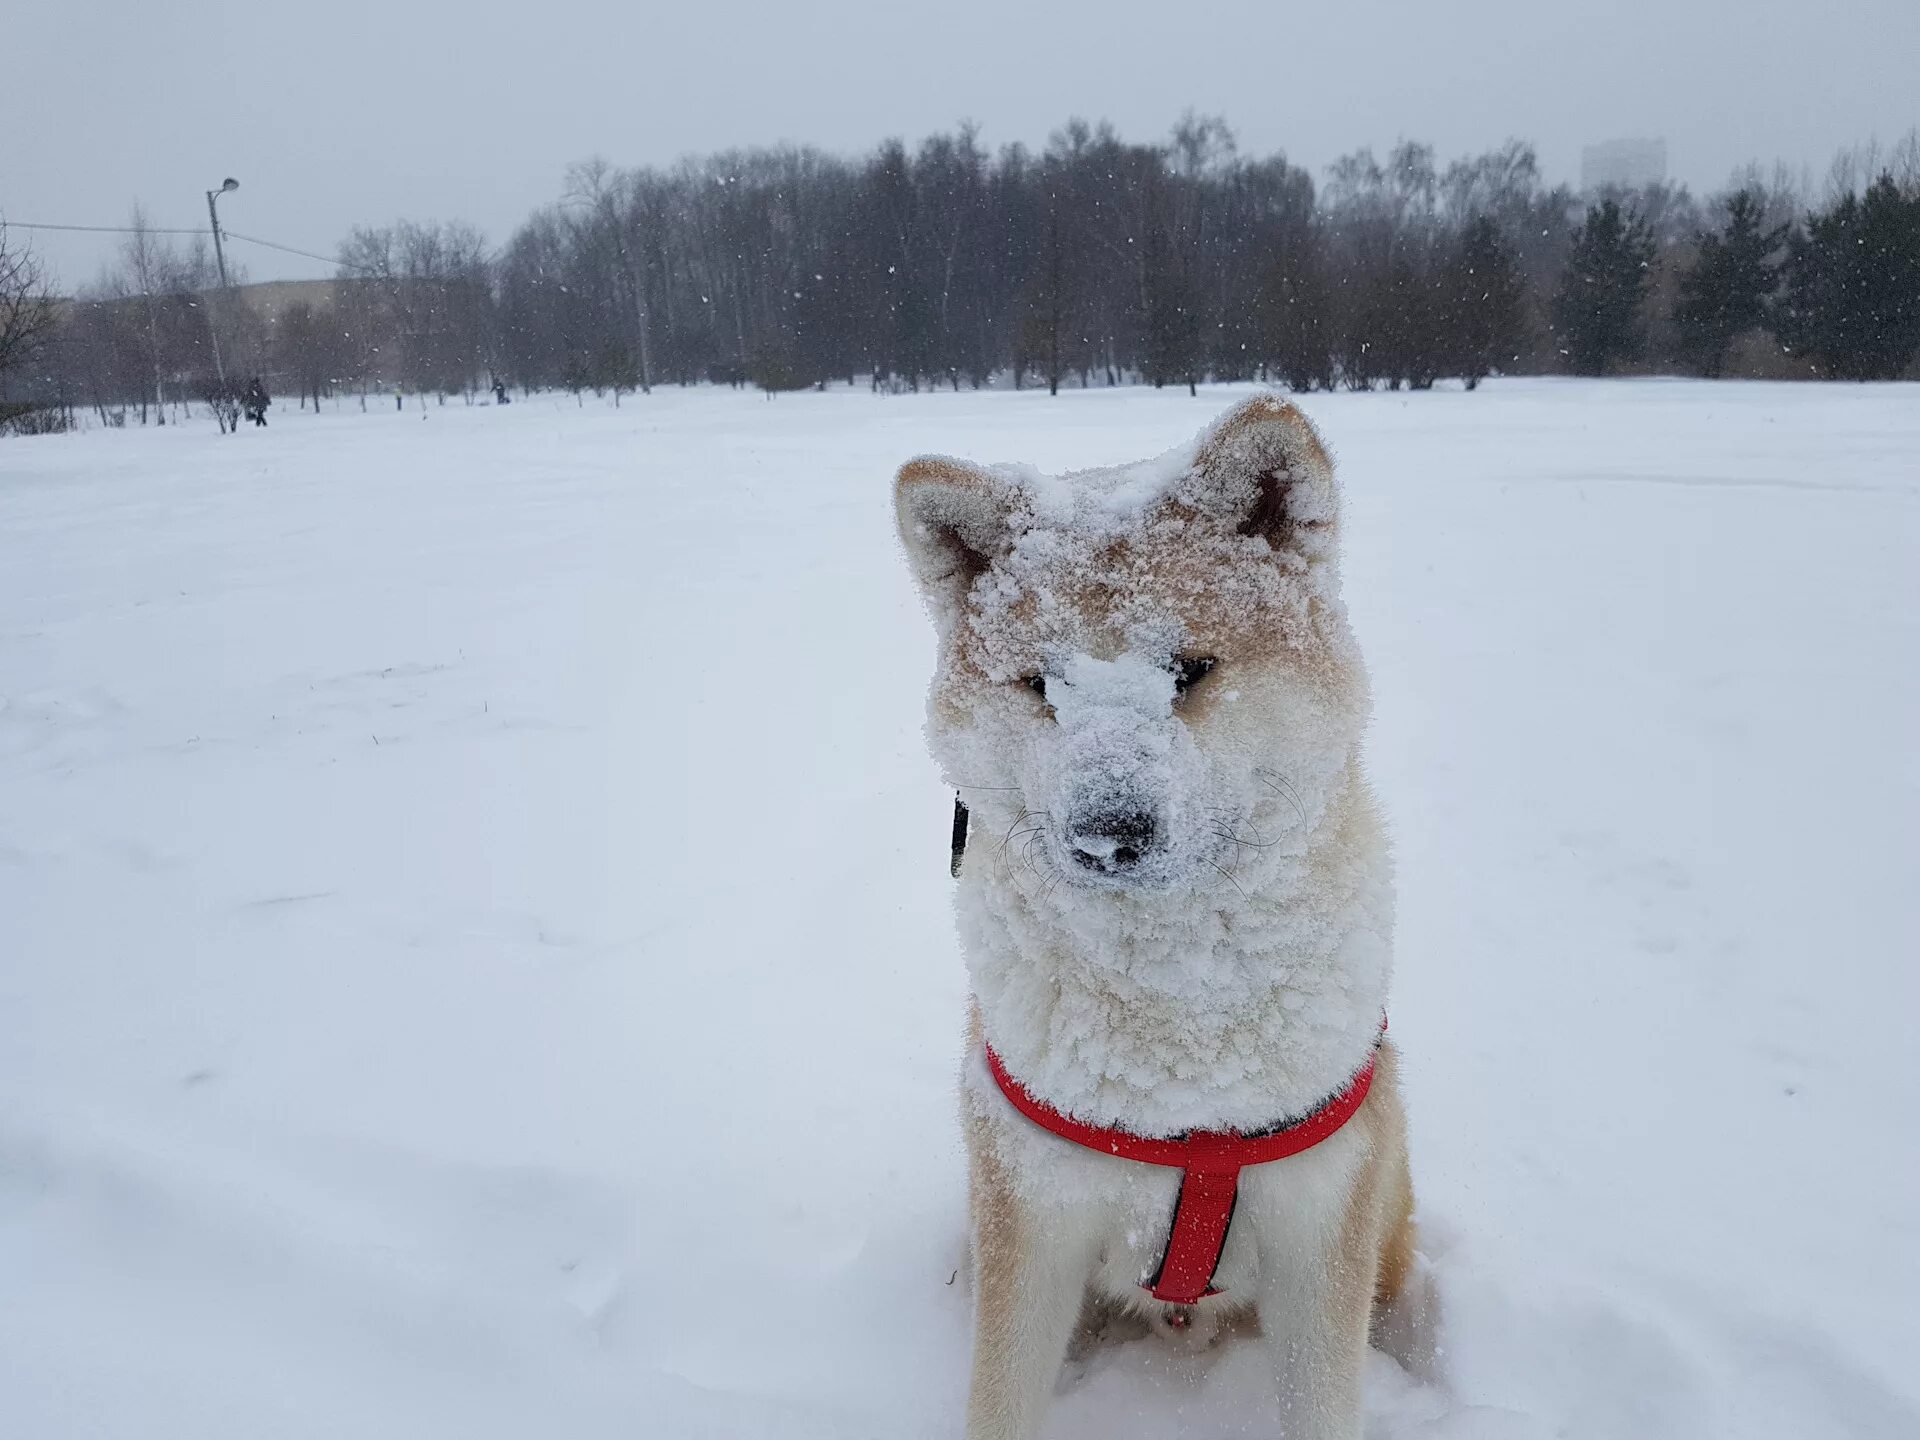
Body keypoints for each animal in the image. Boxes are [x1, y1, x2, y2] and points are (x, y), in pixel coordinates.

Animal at [894, 395, 1413, 1440]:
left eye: (1192, 670)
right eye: (1040, 687)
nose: (1108, 834)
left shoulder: (1319, 1231)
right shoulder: (1033, 1214)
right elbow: (1001, 1400)